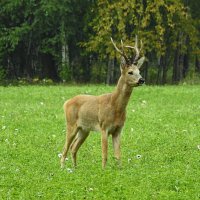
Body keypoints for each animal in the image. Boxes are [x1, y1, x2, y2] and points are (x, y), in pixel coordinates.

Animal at [59, 35, 145, 169]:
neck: (115, 107)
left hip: (84, 129)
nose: (142, 80)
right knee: (65, 147)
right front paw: (103, 170)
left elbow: (118, 155)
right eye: (130, 72)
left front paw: (120, 170)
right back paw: (63, 168)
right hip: (71, 123)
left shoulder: (118, 129)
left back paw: (75, 168)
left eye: (139, 71)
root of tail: (66, 102)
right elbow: (105, 154)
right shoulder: (104, 127)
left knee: (73, 147)